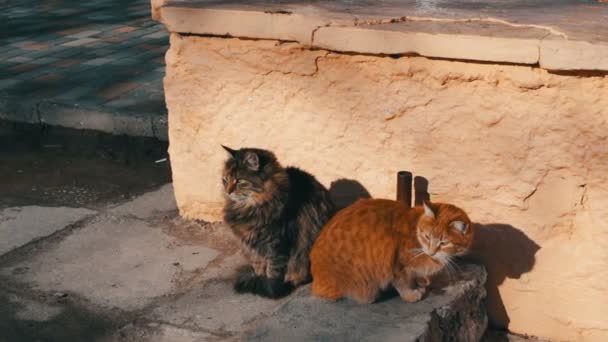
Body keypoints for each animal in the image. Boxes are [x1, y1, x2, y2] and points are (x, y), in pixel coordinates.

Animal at [221, 146, 332, 298]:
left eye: (239, 181)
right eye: (225, 179)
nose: (228, 192)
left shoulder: (276, 245)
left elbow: (273, 272)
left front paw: (270, 289)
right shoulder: (253, 248)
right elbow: (259, 267)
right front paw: (259, 279)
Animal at [312, 199, 472, 304]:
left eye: (443, 243)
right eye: (427, 236)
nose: (431, 252)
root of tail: (318, 281)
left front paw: (421, 281)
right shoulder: (398, 265)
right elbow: (403, 283)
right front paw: (411, 295)